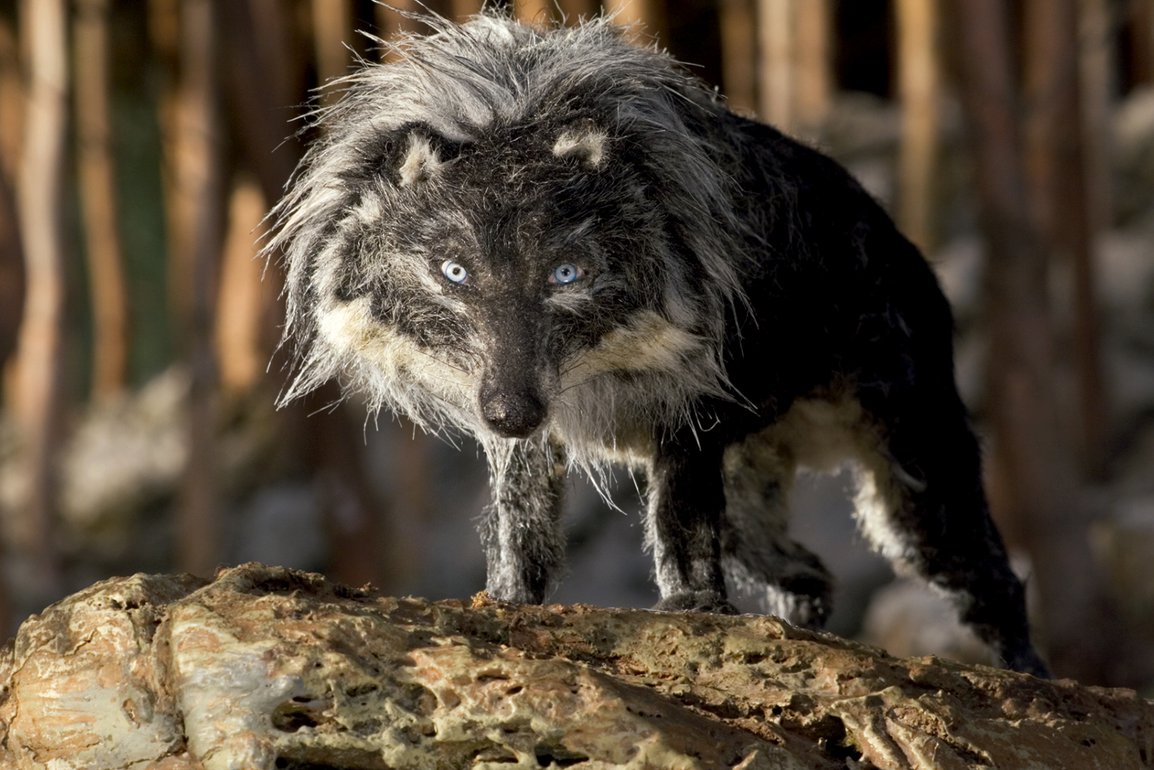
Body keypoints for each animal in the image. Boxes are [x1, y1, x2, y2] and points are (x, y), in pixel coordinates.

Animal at [265, 12, 1052, 674]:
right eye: (453, 271)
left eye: (566, 273)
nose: (511, 410)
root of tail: (904, 244)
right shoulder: (534, 441)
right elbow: (521, 529)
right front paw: (507, 604)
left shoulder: (687, 427)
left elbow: (677, 530)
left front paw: (692, 614)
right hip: (756, 505)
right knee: (809, 574)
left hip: (916, 489)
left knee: (997, 585)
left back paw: (1029, 680)